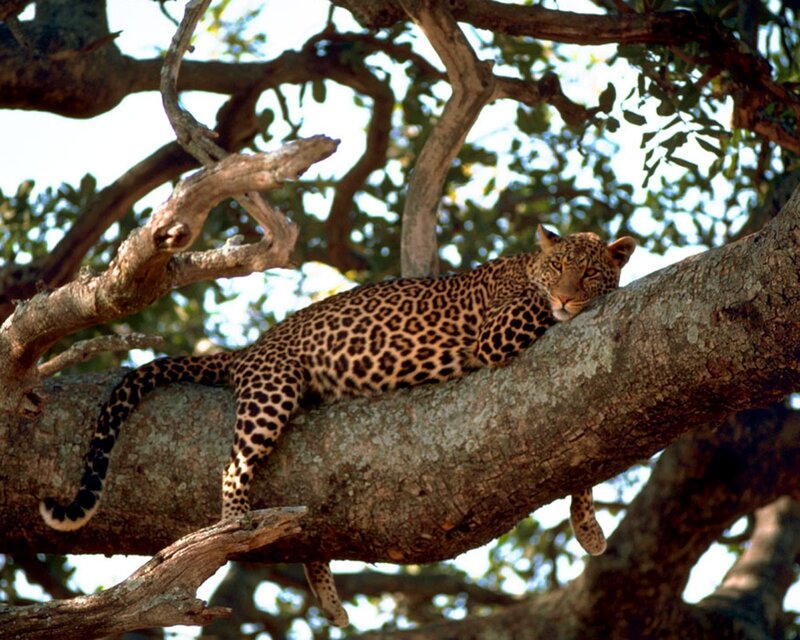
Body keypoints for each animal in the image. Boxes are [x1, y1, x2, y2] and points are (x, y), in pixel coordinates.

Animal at [40, 224, 635, 627]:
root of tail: (250, 349)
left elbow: (582, 463)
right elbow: (541, 315)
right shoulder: (501, 330)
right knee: (233, 466)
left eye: (589, 270)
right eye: (558, 268)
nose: (568, 295)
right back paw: (234, 529)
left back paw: (326, 597)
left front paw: (587, 526)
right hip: (272, 390)